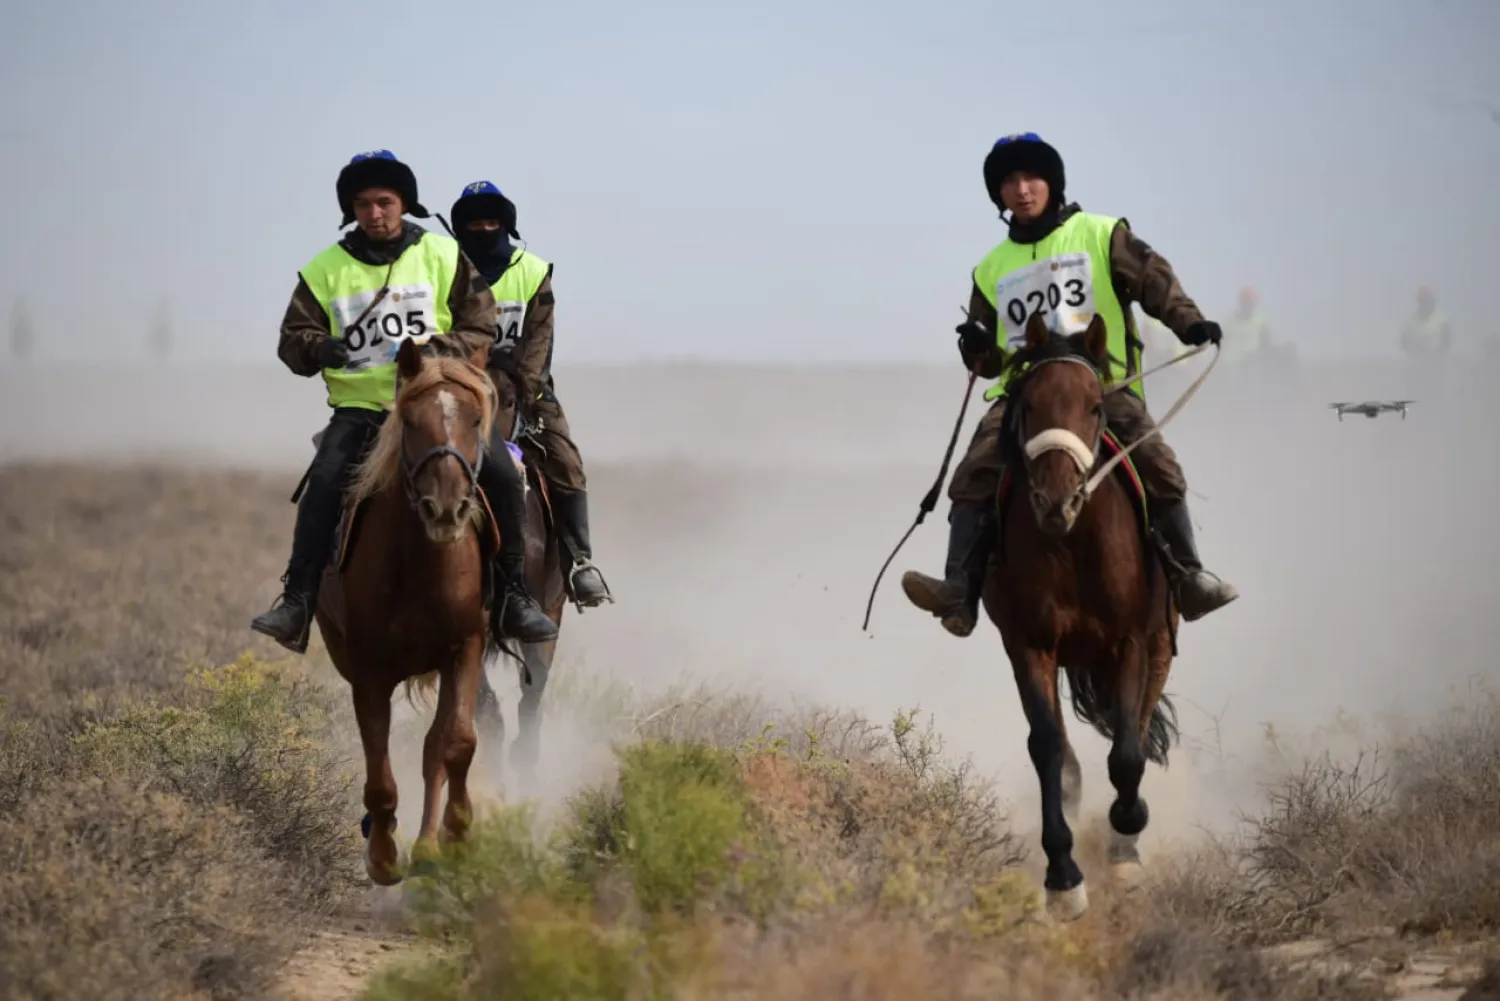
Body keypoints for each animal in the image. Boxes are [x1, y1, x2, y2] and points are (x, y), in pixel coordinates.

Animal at [313, 336, 501, 882]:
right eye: (412, 421)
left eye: (475, 420)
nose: (447, 509)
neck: (420, 565)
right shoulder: (369, 670)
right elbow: (379, 769)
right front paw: (381, 855)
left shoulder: (465, 649)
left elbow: (455, 743)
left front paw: (455, 835)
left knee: (435, 747)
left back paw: (429, 846)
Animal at [984, 313, 1182, 924]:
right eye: (1027, 405)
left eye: (1095, 406)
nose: (1056, 501)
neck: (1071, 544)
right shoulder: (1031, 645)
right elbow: (1046, 747)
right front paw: (1063, 878)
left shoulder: (1131, 642)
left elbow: (1128, 753)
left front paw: (1125, 836)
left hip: (1160, 644)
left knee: (1138, 723)